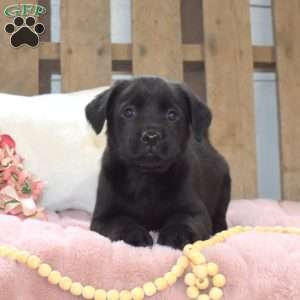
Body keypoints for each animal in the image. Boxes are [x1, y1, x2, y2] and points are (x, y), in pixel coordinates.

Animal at [85, 77, 231, 248]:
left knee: (220, 214)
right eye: (128, 112)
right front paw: (133, 234)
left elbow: (182, 219)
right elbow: (121, 222)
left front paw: (176, 235)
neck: (146, 178)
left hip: (224, 187)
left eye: (172, 114)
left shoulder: (195, 211)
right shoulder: (104, 217)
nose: (151, 136)